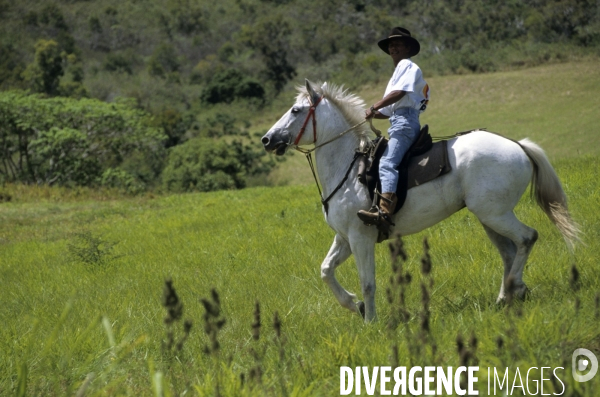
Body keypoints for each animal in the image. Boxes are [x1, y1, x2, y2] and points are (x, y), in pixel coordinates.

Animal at [260, 79, 580, 322]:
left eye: (296, 110)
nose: (266, 139)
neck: (349, 169)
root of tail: (518, 146)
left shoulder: (361, 237)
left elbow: (368, 283)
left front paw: (370, 321)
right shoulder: (345, 238)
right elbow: (326, 271)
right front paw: (355, 306)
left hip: (496, 215)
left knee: (527, 238)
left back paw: (516, 289)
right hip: (489, 217)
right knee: (509, 252)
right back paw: (508, 295)